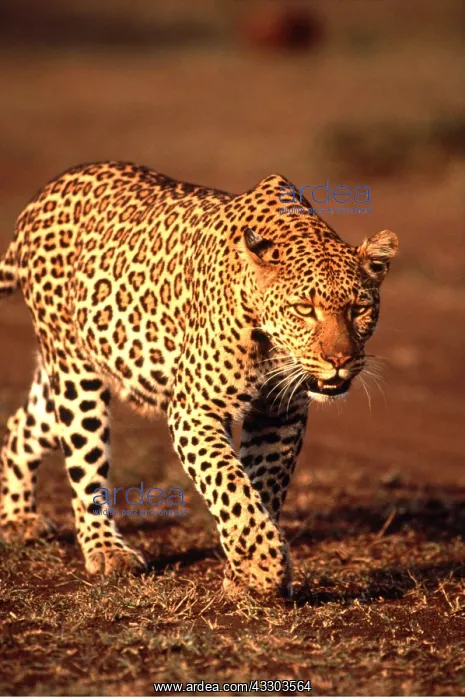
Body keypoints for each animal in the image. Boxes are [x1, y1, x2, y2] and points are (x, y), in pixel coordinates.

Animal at [0, 161, 398, 596]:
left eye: (359, 309)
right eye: (304, 309)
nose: (339, 360)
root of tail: (42, 195)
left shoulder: (279, 415)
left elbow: (263, 485)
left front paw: (243, 572)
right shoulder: (196, 410)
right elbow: (231, 487)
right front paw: (263, 565)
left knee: (22, 425)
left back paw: (16, 518)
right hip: (75, 372)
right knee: (83, 462)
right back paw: (107, 549)